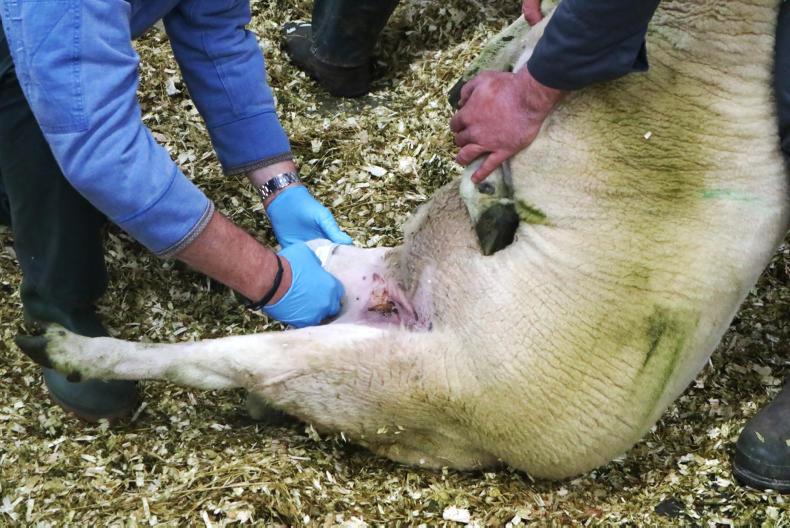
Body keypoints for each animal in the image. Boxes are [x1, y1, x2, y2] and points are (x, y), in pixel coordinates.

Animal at [16, 0, 789, 480]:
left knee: (214, 362)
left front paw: (488, 187)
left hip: (372, 379)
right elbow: (505, 70)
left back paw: (61, 345)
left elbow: (497, 117)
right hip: (365, 312)